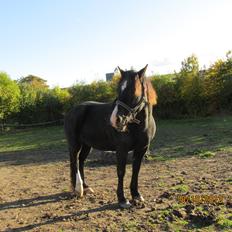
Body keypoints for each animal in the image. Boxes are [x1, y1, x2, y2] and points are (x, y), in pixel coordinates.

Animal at [64, 65, 157, 208]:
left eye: (134, 92)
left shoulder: (141, 149)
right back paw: (78, 189)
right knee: (74, 161)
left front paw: (136, 195)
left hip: (87, 145)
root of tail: (72, 110)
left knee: (81, 161)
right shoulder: (121, 150)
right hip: (75, 144)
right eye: (118, 90)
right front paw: (122, 199)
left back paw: (86, 187)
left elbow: (136, 170)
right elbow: (121, 171)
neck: (137, 126)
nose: (115, 120)